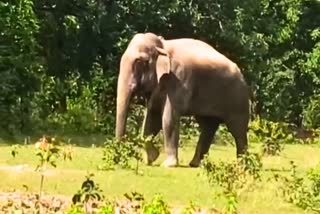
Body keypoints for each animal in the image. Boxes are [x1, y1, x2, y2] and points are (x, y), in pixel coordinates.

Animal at [115, 32, 250, 168]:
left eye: (139, 61)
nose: (122, 160)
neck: (163, 45)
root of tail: (242, 74)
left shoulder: (179, 79)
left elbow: (168, 119)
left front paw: (167, 165)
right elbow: (151, 117)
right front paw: (151, 159)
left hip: (238, 98)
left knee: (238, 130)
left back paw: (242, 166)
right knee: (208, 126)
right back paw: (195, 164)